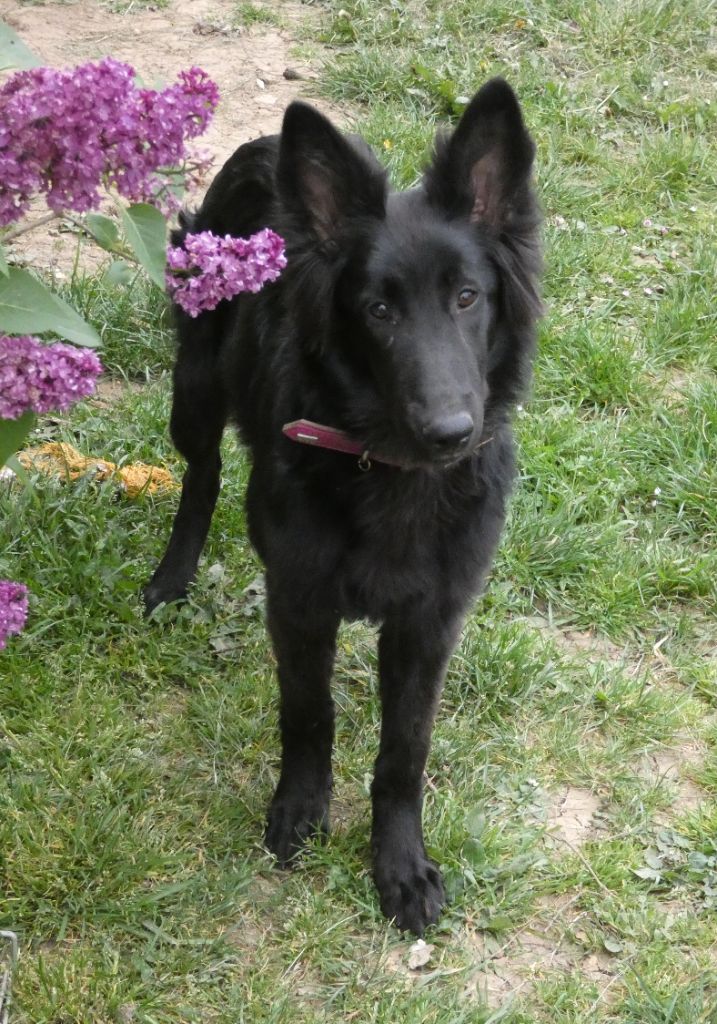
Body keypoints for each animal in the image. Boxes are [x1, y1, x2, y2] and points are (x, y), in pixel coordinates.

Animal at [144, 79, 536, 937]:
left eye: (467, 297)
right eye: (378, 311)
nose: (450, 432)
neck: (389, 469)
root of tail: (267, 143)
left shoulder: (429, 623)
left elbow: (403, 754)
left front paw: (399, 867)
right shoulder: (298, 604)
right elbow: (309, 714)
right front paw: (300, 811)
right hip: (194, 387)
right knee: (202, 474)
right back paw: (171, 577)